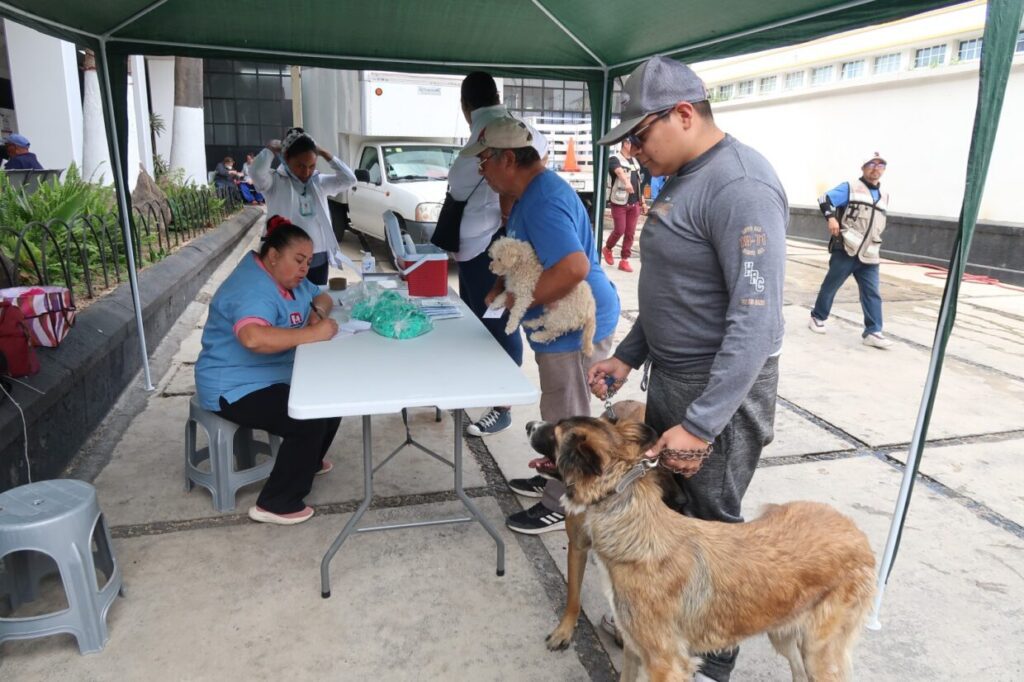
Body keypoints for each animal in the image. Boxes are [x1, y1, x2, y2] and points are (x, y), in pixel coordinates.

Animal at [536, 413, 872, 679]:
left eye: (555, 432)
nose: (529, 424)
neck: (634, 524)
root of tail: (857, 533)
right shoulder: (635, 647)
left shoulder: (666, 664)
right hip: (785, 633)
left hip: (819, 652)